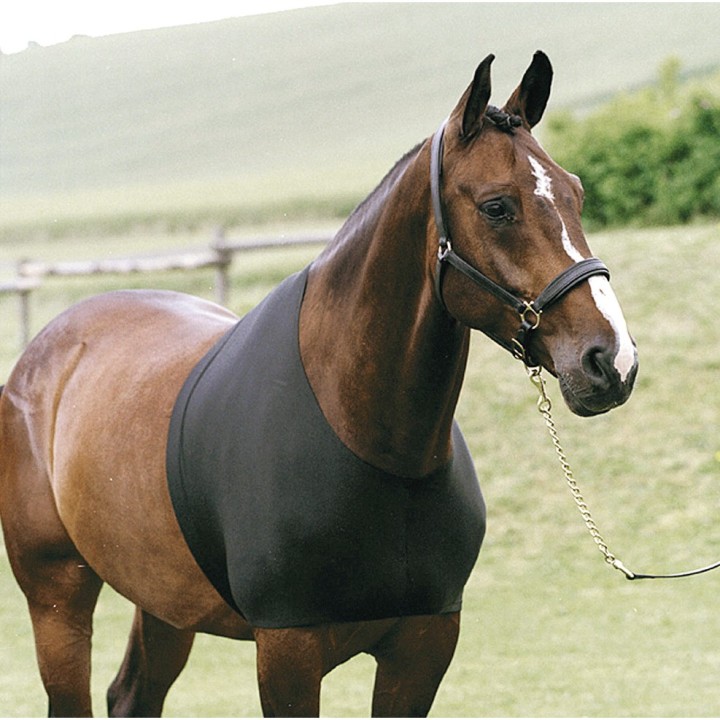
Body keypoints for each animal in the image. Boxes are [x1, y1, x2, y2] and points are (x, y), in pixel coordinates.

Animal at [0, 51, 638, 717]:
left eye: (576, 193)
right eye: (496, 206)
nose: (610, 360)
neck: (373, 444)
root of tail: (46, 352)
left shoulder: (423, 647)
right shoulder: (288, 651)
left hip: (163, 601)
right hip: (58, 598)